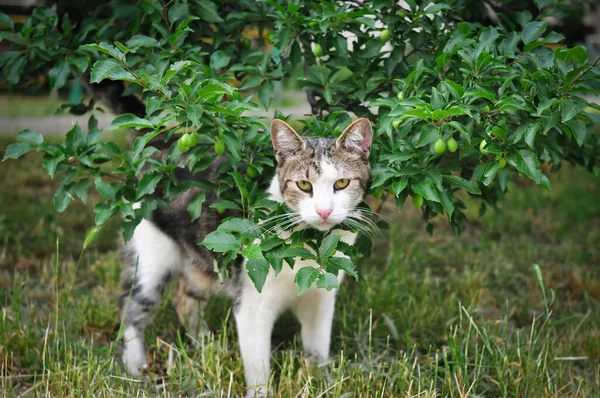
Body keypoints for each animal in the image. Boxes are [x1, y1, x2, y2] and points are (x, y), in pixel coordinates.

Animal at [117, 117, 370, 394]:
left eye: (342, 183)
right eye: (304, 185)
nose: (324, 211)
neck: (309, 246)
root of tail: (160, 142)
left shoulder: (321, 299)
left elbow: (318, 351)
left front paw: (322, 383)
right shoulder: (252, 304)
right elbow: (258, 367)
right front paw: (261, 392)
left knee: (185, 300)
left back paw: (208, 346)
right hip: (151, 261)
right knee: (131, 308)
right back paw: (135, 368)